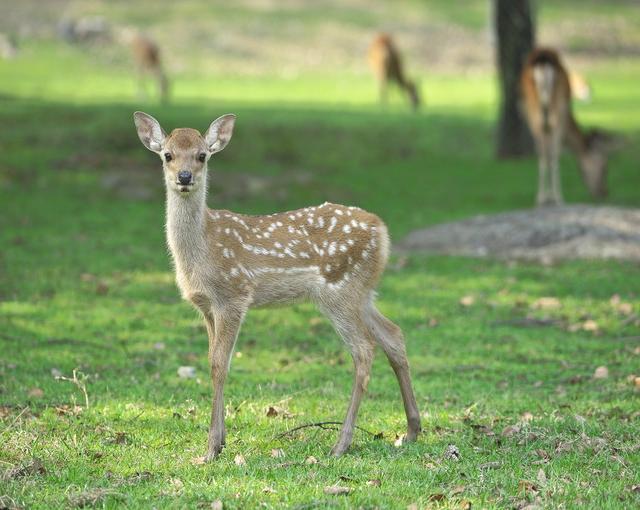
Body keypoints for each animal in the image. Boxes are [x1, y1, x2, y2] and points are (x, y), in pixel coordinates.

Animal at [133, 112, 422, 462]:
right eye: (167, 155)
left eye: (202, 155)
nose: (185, 176)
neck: (202, 249)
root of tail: (382, 230)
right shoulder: (205, 305)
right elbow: (211, 360)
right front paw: (220, 441)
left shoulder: (234, 295)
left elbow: (219, 364)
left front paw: (212, 448)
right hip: (362, 293)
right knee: (393, 335)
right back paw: (411, 431)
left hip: (339, 290)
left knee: (364, 350)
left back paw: (341, 444)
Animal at [520, 47, 608, 206]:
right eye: (605, 167)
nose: (604, 192)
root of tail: (543, 61)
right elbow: (553, 154)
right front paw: (551, 195)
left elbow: (546, 155)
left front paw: (547, 195)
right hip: (557, 111)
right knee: (554, 155)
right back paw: (558, 197)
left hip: (535, 114)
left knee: (543, 156)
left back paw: (541, 198)